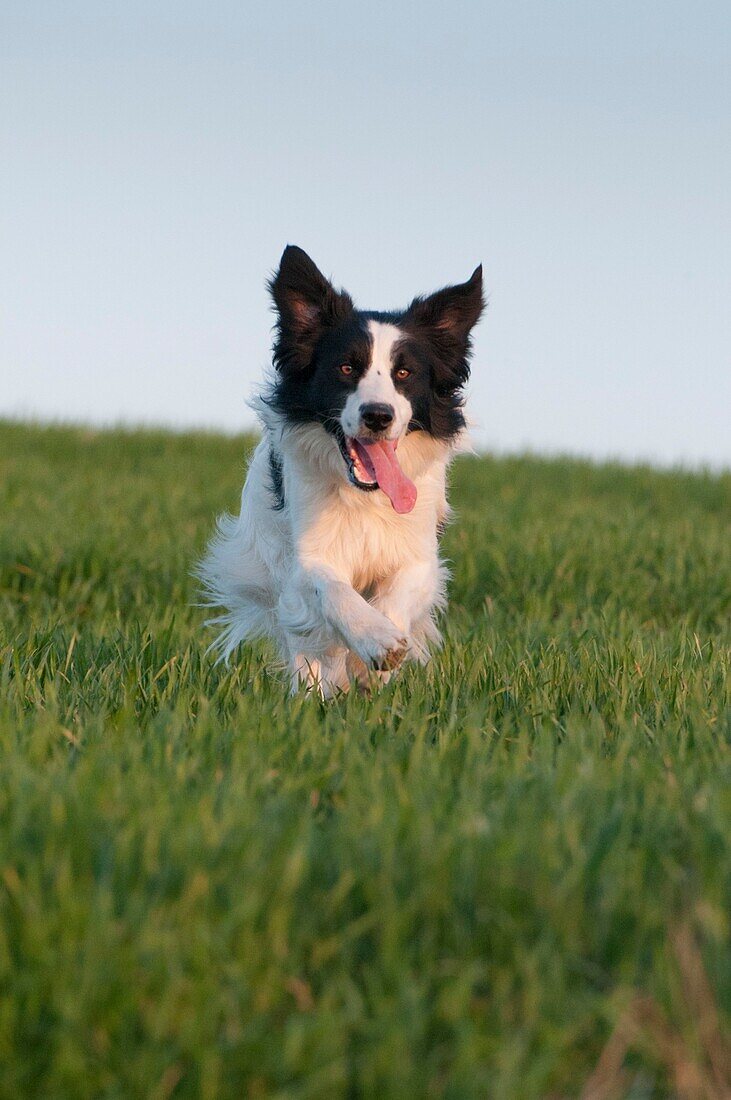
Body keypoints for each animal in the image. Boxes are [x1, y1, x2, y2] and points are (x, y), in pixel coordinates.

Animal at [200, 249, 483, 695]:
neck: (366, 496)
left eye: (404, 373)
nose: (378, 416)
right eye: (347, 368)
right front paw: (376, 640)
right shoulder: (304, 559)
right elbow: (331, 590)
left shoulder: (420, 553)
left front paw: (376, 661)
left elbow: (399, 590)